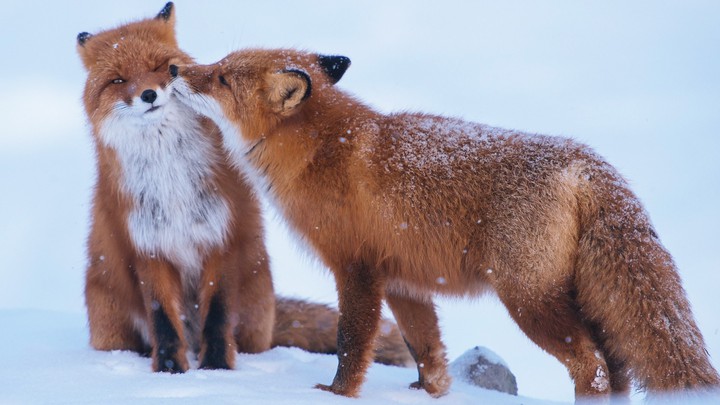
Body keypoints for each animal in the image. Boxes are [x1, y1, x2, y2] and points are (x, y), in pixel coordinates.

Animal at [76, 2, 412, 373]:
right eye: (118, 80)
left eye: (158, 67)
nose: (148, 95)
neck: (171, 178)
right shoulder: (148, 247)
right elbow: (163, 320)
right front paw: (170, 372)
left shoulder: (223, 236)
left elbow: (218, 314)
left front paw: (217, 370)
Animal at [170, 48, 720, 400]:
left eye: (221, 77)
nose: (175, 68)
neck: (321, 151)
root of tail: (585, 162)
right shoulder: (404, 280)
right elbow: (425, 349)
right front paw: (428, 393)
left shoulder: (356, 269)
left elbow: (352, 344)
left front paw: (335, 393)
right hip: (578, 298)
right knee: (618, 364)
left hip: (529, 301)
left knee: (596, 367)